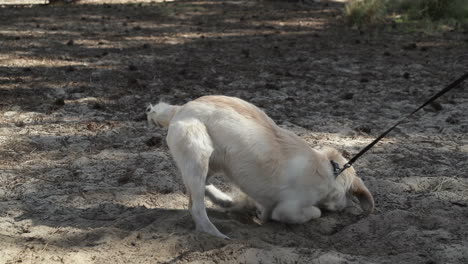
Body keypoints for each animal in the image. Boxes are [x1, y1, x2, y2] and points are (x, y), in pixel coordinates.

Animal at [148, 95, 374, 239]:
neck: (331, 170)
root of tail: (180, 109)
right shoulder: (288, 209)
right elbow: (313, 212)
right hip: (198, 154)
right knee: (196, 208)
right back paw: (216, 235)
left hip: (211, 161)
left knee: (201, 190)